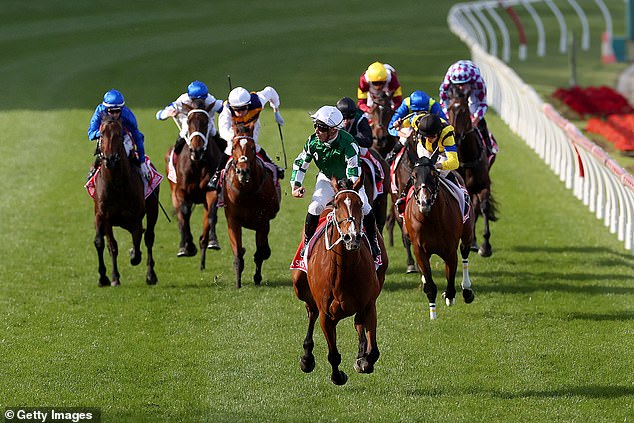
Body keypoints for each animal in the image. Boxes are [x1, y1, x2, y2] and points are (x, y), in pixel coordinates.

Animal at [92, 117, 159, 288]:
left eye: (119, 135)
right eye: (101, 134)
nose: (110, 159)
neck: (116, 185)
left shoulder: (135, 217)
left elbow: (137, 240)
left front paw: (134, 255)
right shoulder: (105, 217)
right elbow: (111, 246)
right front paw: (112, 277)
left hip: (153, 209)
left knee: (149, 237)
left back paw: (151, 275)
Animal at [163, 102, 222, 270]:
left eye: (206, 122)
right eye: (189, 122)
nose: (197, 150)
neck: (197, 163)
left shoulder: (211, 191)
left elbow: (211, 215)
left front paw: (212, 241)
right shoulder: (181, 192)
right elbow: (184, 214)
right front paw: (187, 246)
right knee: (182, 215)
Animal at [290, 177, 386, 386]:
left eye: (359, 204)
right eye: (336, 205)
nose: (352, 237)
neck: (345, 269)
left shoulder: (369, 305)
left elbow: (373, 351)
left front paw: (362, 360)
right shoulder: (326, 315)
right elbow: (333, 354)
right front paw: (338, 376)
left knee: (358, 322)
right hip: (300, 285)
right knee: (311, 312)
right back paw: (307, 358)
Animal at [402, 154, 472, 320]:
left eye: (434, 175)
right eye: (413, 176)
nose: (424, 202)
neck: (430, 219)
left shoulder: (450, 251)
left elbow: (451, 280)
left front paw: (449, 296)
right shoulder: (419, 250)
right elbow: (430, 284)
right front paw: (432, 314)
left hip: (467, 232)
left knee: (465, 252)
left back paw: (467, 289)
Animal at [446, 90, 496, 258]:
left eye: (464, 111)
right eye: (449, 108)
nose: (454, 135)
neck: (468, 158)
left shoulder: (483, 186)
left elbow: (485, 207)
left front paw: (486, 246)